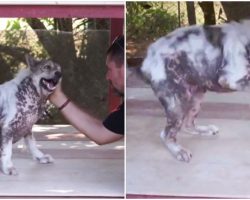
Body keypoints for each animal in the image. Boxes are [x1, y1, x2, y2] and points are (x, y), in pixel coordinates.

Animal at [140, 19, 250, 162]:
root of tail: (147, 59)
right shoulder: (230, 78)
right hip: (177, 103)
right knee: (166, 134)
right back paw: (178, 150)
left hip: (195, 99)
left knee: (188, 125)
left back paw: (204, 130)